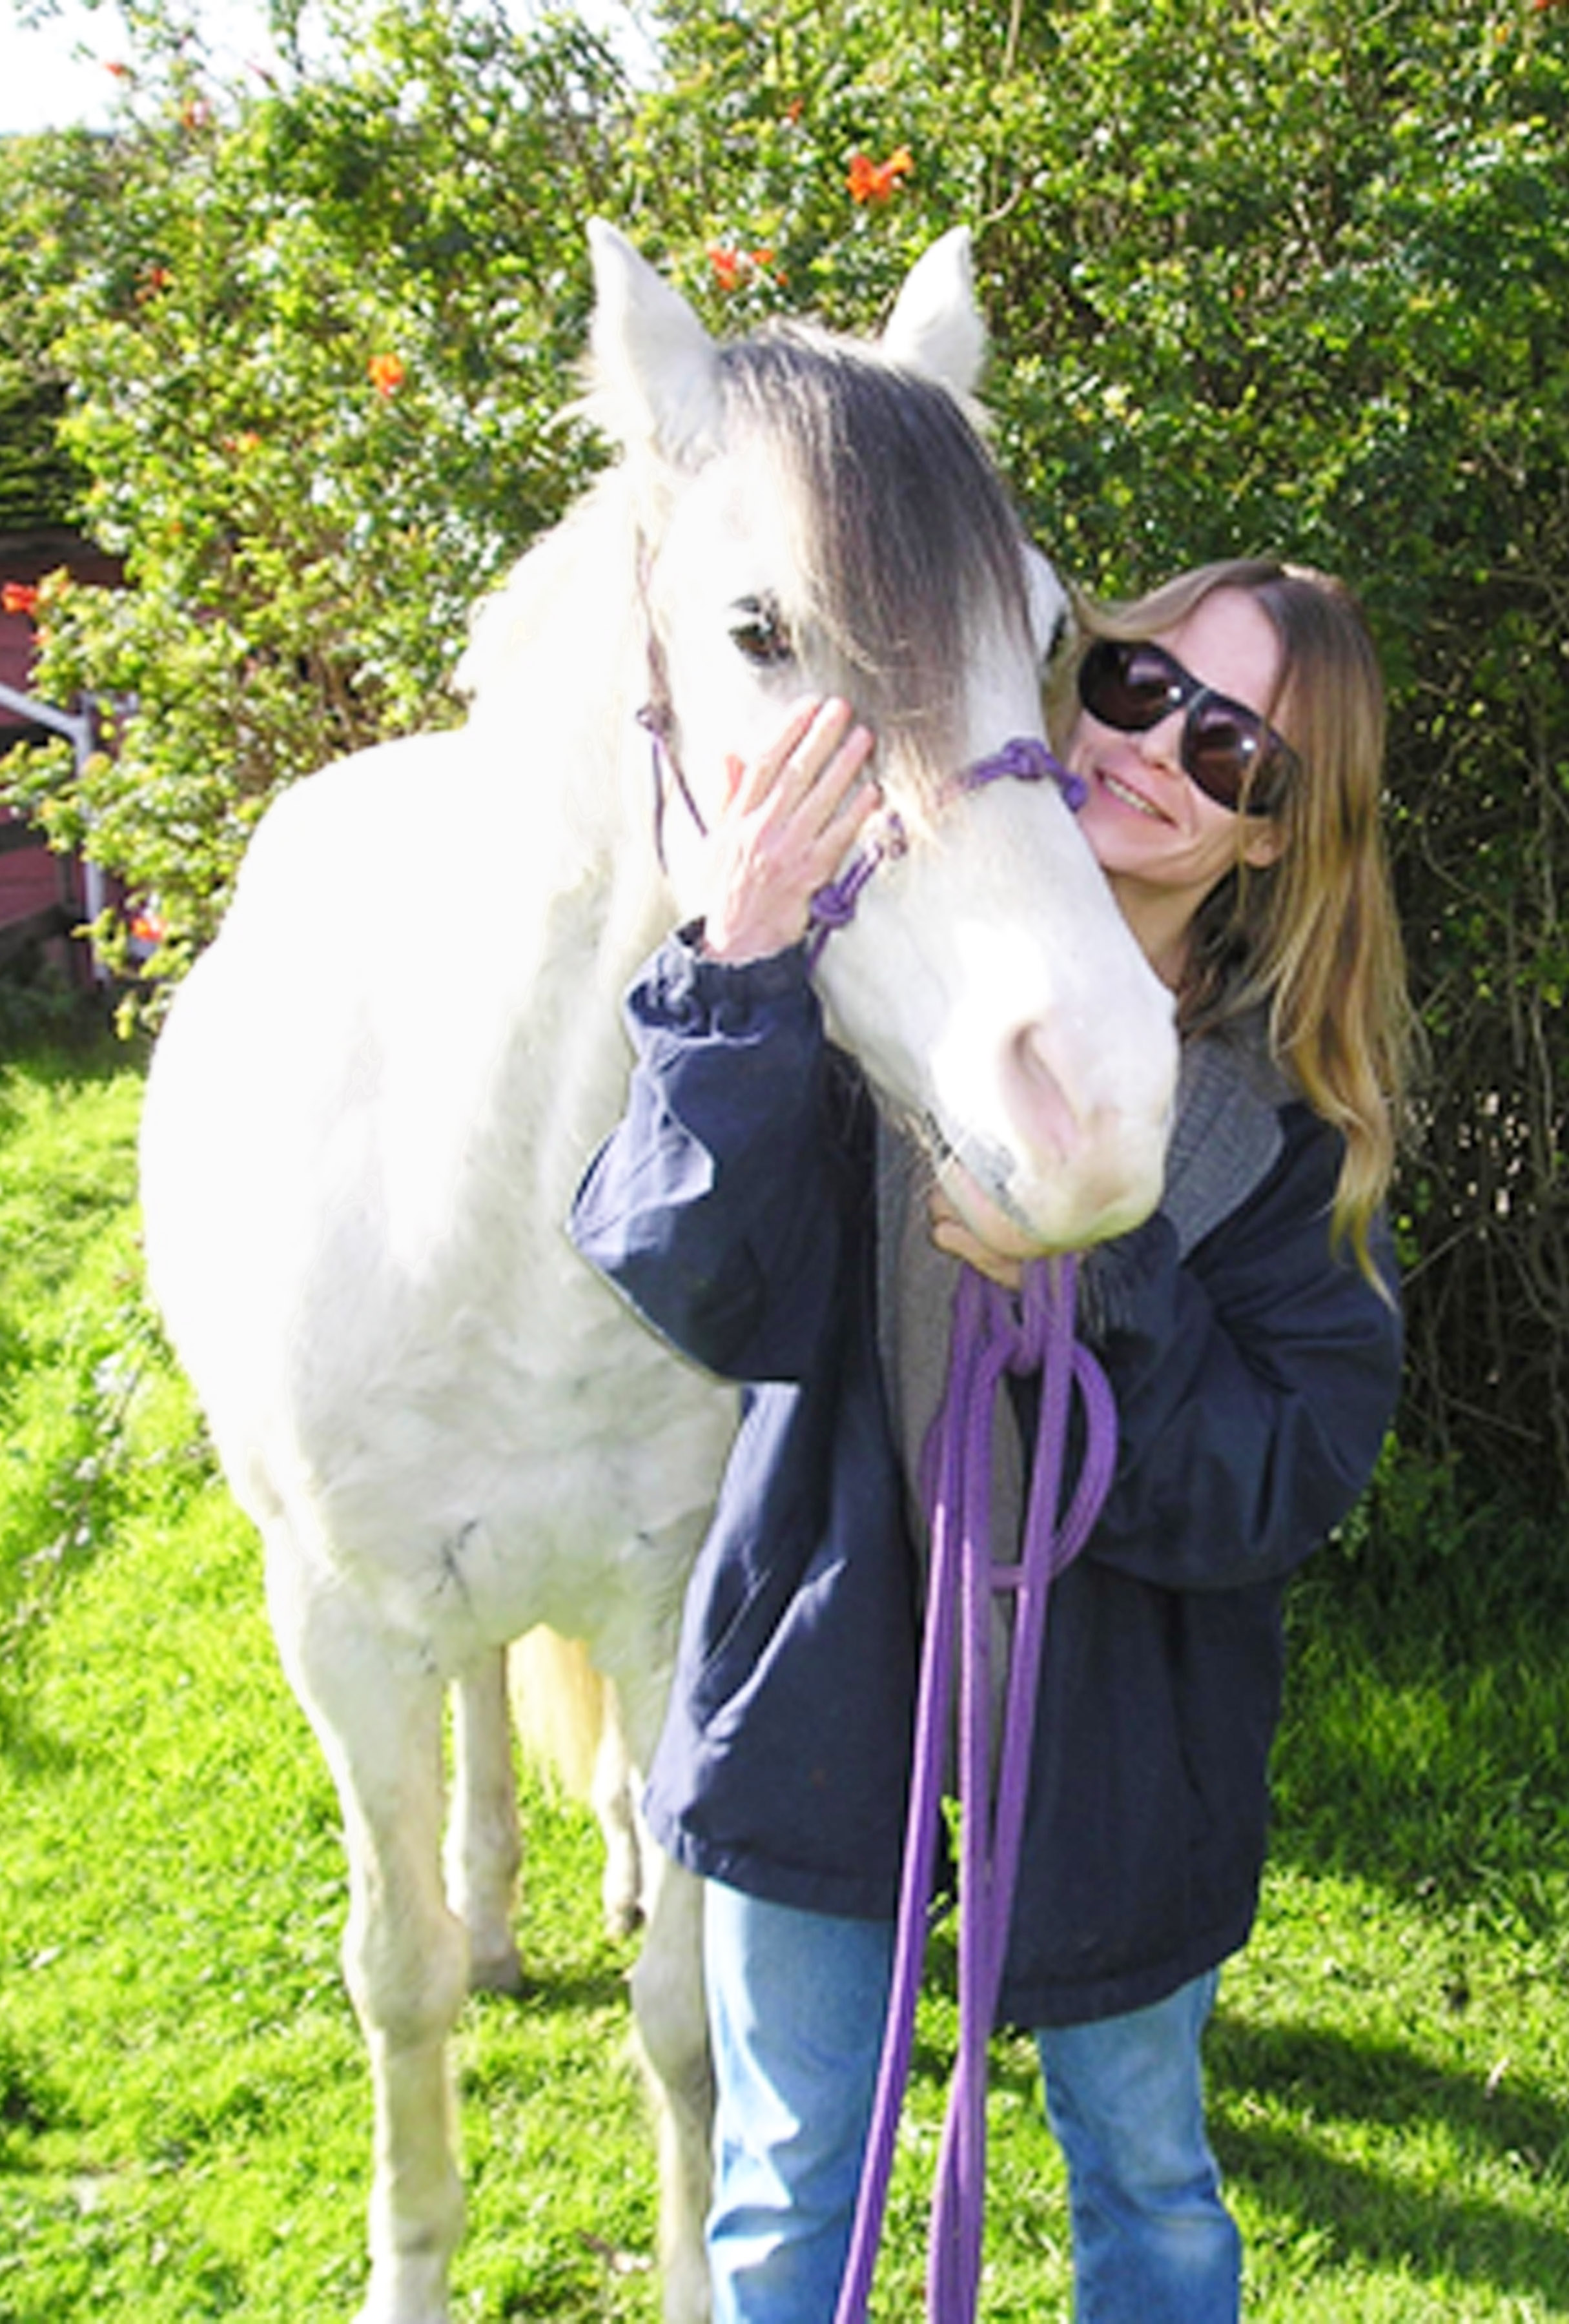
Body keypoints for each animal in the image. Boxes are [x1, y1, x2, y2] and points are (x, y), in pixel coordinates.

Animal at [137, 219, 1178, 2324]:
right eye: (764, 632)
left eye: (1042, 628)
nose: (1104, 1103)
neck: (500, 1226)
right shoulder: (339, 1635)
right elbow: (395, 1993)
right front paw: (411, 2253)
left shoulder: (678, 1599)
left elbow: (690, 2021)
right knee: (472, 1738)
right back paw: (493, 1898)